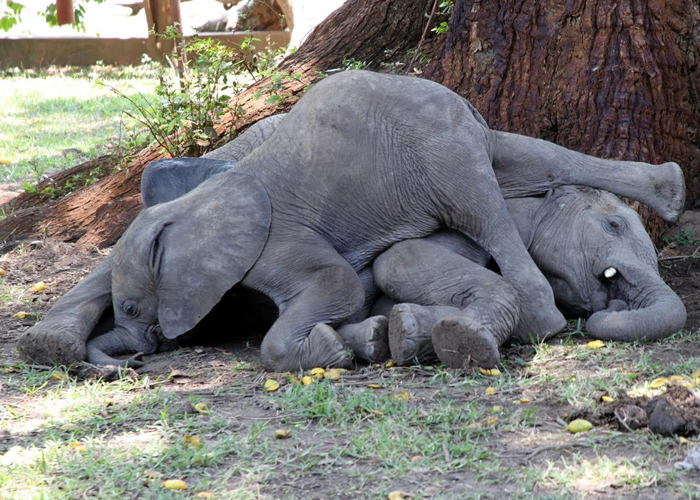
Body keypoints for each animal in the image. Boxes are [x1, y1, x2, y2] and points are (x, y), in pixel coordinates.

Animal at [15, 70, 685, 372]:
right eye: (614, 230)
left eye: (134, 308)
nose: (137, 354)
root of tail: (459, 105)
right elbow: (373, 273)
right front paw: (364, 342)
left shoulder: (278, 240)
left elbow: (344, 281)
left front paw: (356, 344)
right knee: (502, 174)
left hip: (438, 152)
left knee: (492, 187)